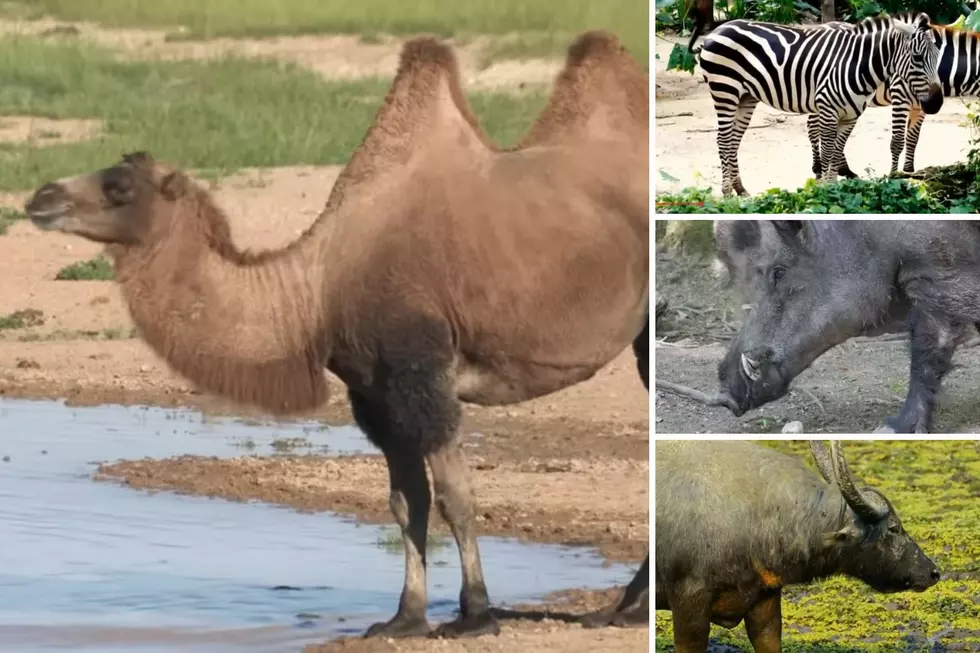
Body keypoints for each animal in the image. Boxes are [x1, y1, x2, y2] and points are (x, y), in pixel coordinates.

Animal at [24, 31, 649, 639]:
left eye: (119, 186)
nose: (39, 197)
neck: (317, 290)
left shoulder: (422, 373)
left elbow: (456, 496)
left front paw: (474, 615)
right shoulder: (374, 390)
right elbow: (406, 502)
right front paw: (406, 617)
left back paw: (626, 608)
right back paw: (624, 607)